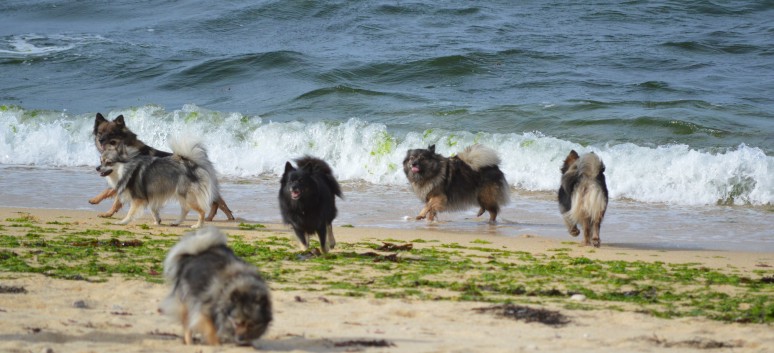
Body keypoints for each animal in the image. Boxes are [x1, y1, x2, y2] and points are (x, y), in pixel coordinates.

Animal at [89, 113, 235, 220]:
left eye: (111, 134)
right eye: (100, 132)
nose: (101, 140)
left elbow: (114, 198)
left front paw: (105, 210)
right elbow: (111, 193)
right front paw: (99, 204)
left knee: (216, 201)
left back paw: (219, 216)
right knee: (219, 201)